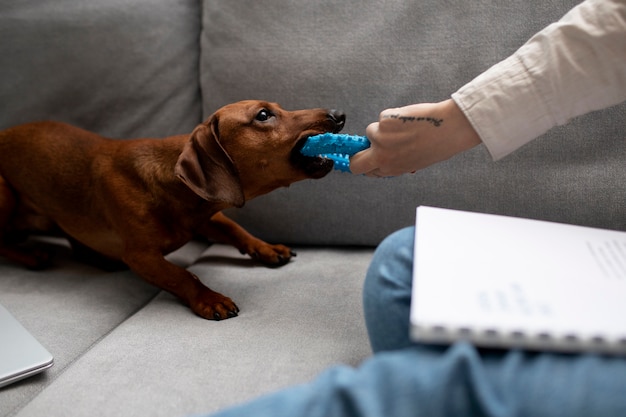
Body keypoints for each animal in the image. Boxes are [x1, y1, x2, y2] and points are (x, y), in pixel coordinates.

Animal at [0, 100, 344, 318]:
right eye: (263, 114)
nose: (339, 114)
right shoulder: (140, 256)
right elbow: (182, 275)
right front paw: (210, 299)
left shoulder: (205, 218)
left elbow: (236, 229)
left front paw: (266, 248)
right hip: (5, 194)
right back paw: (33, 255)